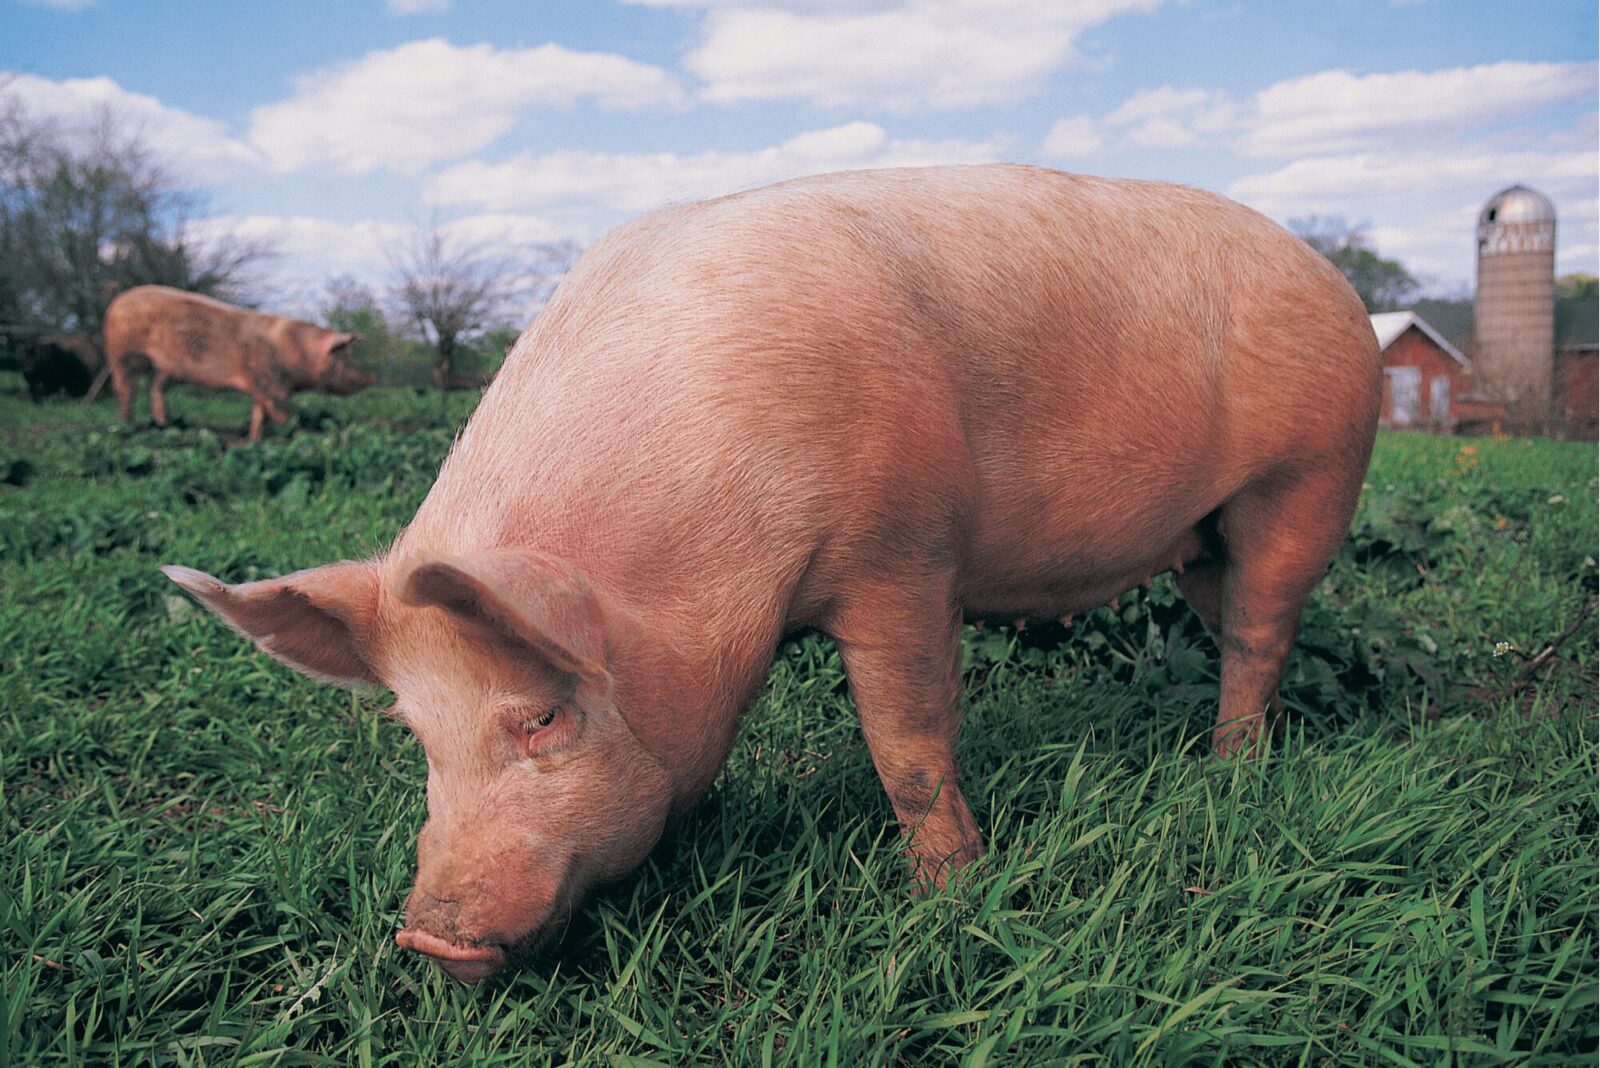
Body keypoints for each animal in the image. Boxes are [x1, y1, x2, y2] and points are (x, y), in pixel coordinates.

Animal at [103, 285, 373, 441]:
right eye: (345, 357)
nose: (373, 377)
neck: (296, 351)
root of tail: (114, 303)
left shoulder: (263, 385)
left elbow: (259, 414)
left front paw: (253, 440)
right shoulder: (270, 381)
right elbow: (284, 414)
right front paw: (303, 437)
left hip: (162, 367)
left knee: (155, 389)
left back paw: (163, 425)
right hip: (124, 355)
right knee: (126, 389)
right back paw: (126, 427)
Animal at [163, 165, 1381, 983]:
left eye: (545, 717)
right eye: (417, 733)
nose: (426, 935)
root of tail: (1334, 278)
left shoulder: (901, 555)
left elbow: (908, 746)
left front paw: (948, 896)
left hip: (1309, 476)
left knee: (1261, 629)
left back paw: (1231, 771)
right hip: (1206, 536)